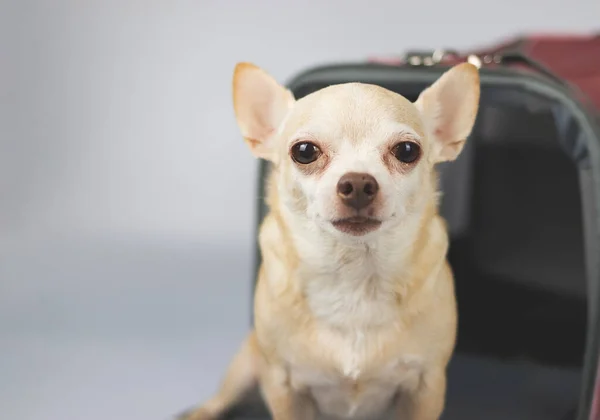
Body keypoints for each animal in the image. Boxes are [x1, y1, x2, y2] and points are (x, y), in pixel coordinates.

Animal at [180, 60, 480, 420]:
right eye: (305, 151)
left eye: (407, 151)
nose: (359, 183)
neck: (354, 278)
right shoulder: (283, 386)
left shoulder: (426, 387)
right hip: (246, 364)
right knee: (220, 398)